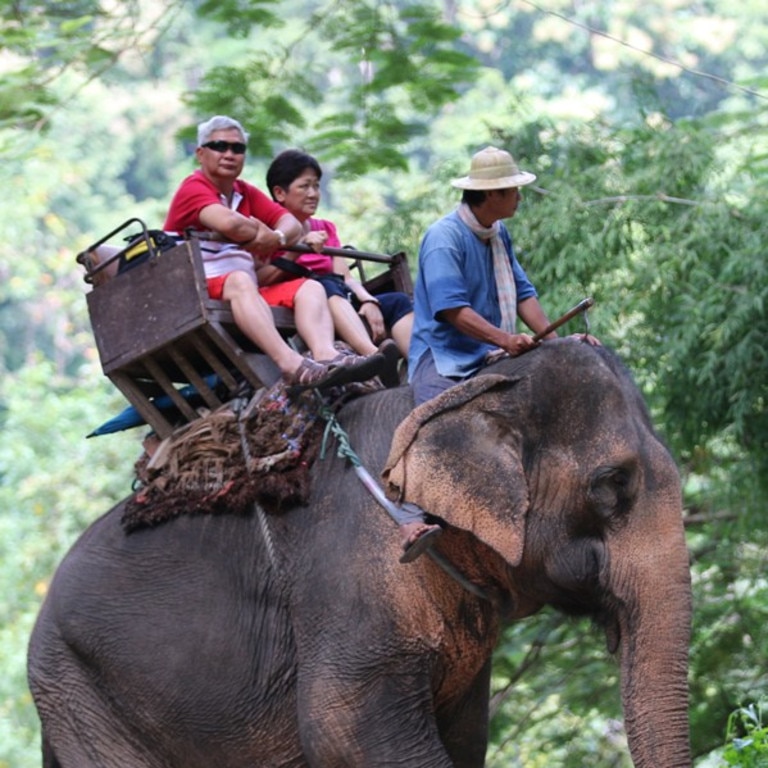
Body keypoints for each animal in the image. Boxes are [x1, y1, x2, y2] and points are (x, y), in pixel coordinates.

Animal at [27, 342, 692, 768]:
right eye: (612, 484)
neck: (457, 394)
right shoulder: (351, 575)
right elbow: (341, 729)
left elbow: (463, 739)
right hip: (82, 699)